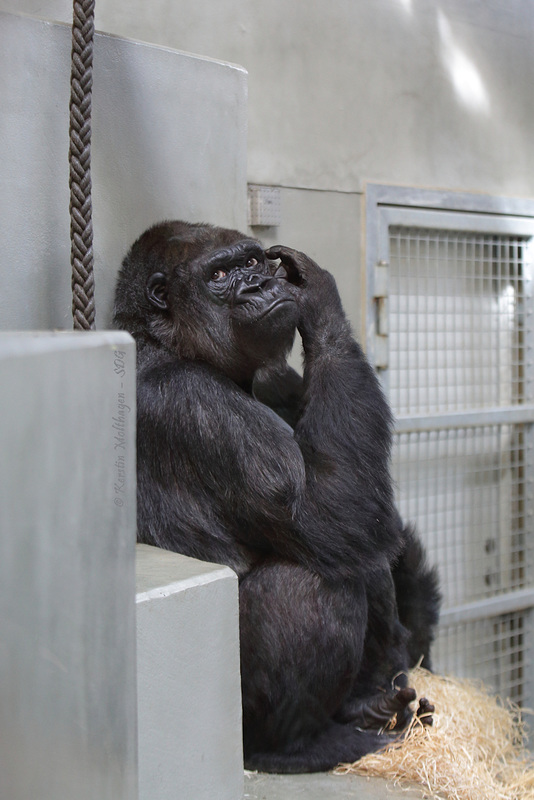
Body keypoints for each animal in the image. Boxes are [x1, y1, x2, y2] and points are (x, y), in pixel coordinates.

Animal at [114, 220, 444, 776]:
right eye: (219, 275)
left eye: (252, 262)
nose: (259, 284)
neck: (175, 344)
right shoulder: (192, 403)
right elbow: (330, 515)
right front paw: (321, 298)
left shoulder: (281, 381)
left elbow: (368, 513)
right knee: (312, 579)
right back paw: (297, 746)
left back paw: (368, 705)